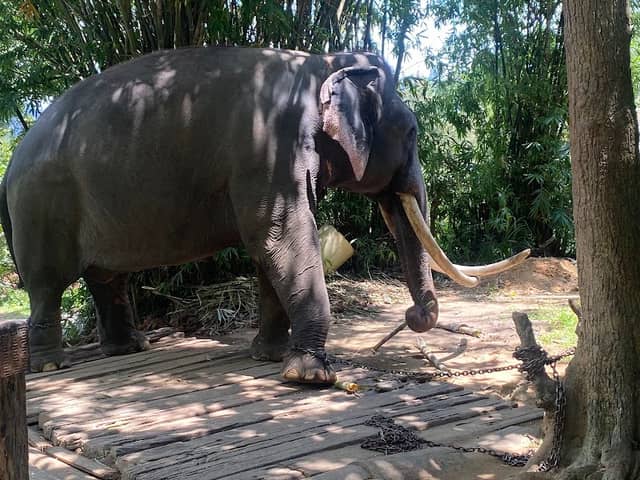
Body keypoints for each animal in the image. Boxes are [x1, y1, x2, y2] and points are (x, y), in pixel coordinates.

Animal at [0, 47, 529, 384]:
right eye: (415, 133)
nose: (412, 314)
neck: (322, 62)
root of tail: (13, 158)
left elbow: (268, 249)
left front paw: (269, 357)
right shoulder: (268, 149)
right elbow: (282, 236)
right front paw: (308, 375)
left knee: (105, 278)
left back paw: (129, 349)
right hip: (42, 204)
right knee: (48, 284)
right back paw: (50, 366)